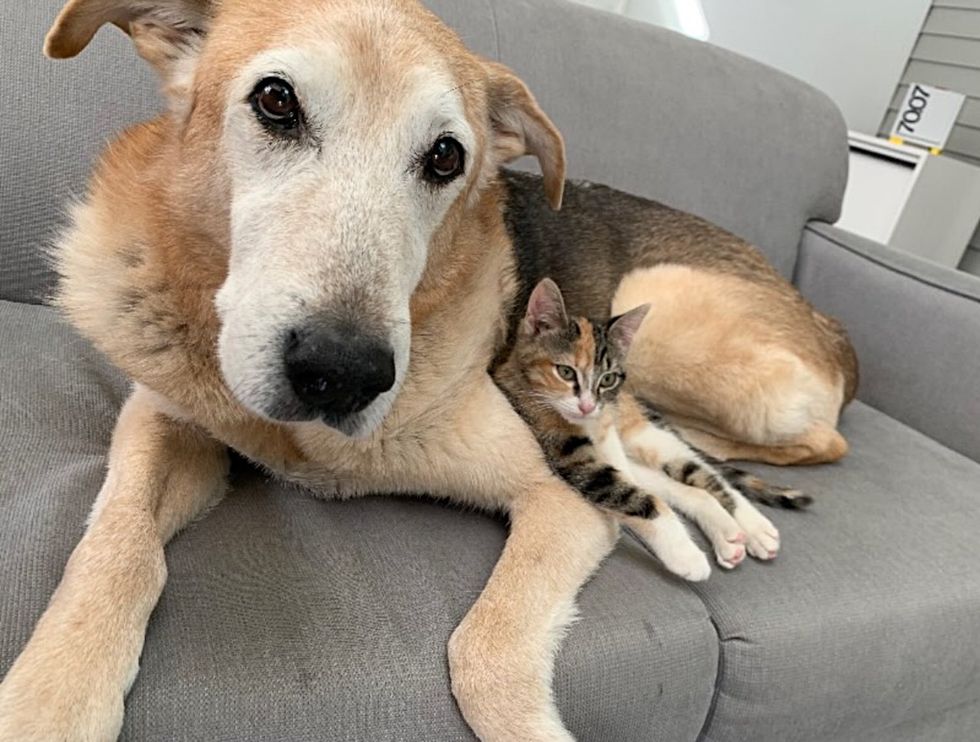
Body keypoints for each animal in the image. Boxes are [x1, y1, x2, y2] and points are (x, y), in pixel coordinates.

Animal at [498, 280, 812, 576]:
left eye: (608, 379)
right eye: (565, 372)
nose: (588, 406)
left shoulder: (607, 436)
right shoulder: (566, 450)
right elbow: (638, 496)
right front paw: (687, 556)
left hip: (644, 433)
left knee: (705, 473)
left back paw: (754, 526)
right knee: (683, 487)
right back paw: (730, 536)